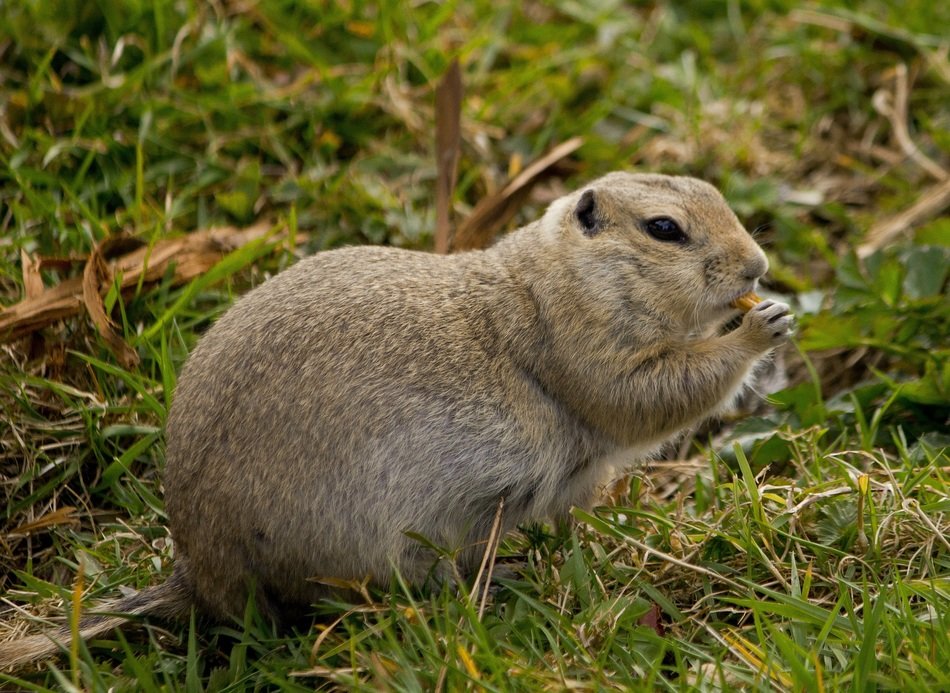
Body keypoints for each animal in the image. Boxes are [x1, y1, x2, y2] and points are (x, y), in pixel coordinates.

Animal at [0, 172, 793, 668]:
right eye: (665, 229)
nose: (758, 265)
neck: (552, 281)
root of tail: (200, 572)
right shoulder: (586, 350)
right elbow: (651, 394)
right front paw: (761, 328)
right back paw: (492, 583)